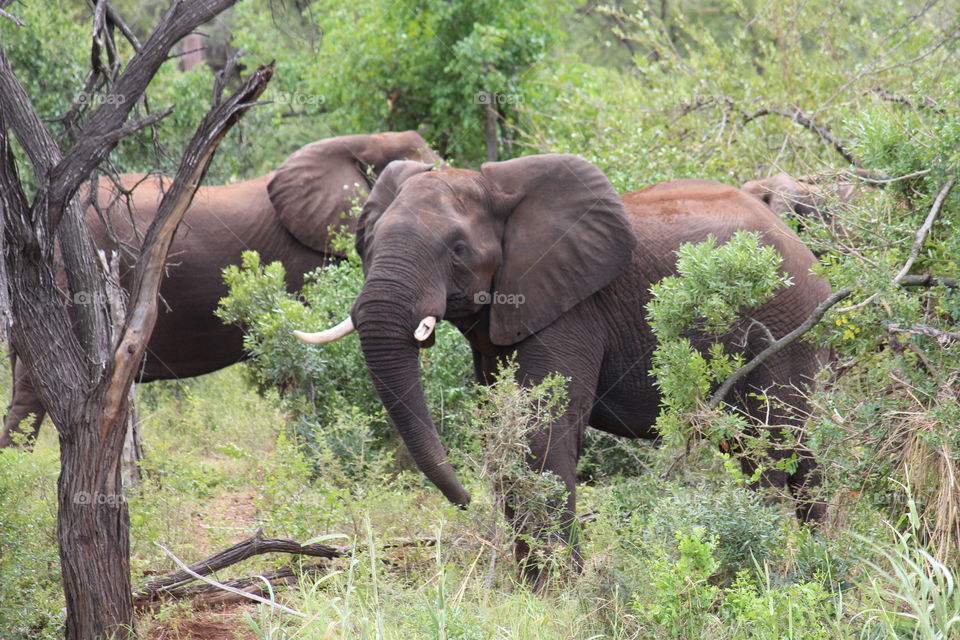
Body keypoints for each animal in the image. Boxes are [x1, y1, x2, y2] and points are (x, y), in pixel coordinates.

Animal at [294, 154, 831, 585]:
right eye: (369, 244)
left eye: (458, 250)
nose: (468, 501)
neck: (499, 194)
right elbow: (506, 424)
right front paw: (535, 588)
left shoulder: (569, 308)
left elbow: (541, 432)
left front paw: (558, 590)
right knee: (773, 446)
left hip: (788, 325)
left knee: (776, 442)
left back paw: (780, 559)